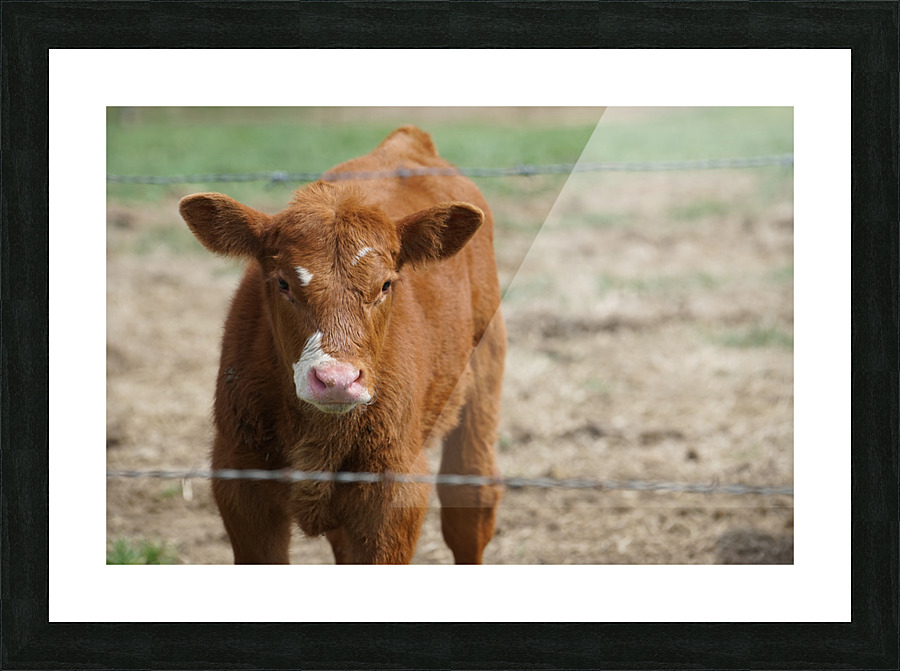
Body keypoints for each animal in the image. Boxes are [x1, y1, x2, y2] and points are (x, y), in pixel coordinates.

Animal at [179, 126, 506, 564]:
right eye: (283, 283)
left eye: (385, 285)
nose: (336, 380)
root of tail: (407, 141)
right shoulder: (240, 482)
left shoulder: (392, 494)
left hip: (484, 371)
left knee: (470, 497)